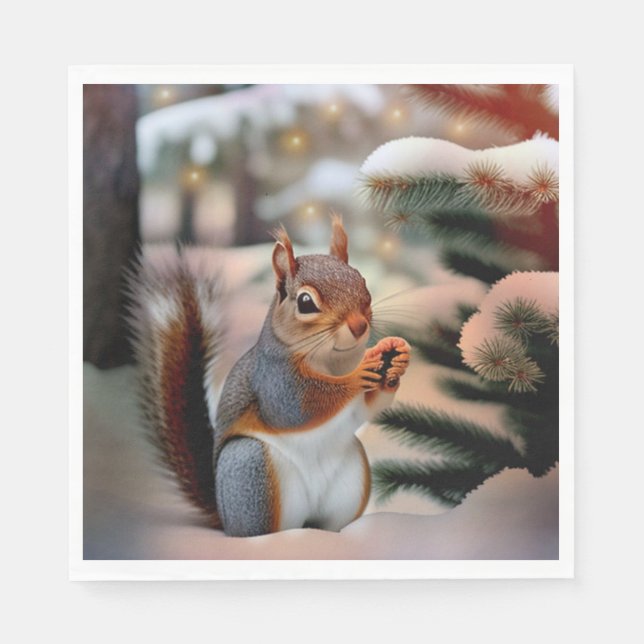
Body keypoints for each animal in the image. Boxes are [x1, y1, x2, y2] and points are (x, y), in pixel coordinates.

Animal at [128, 215, 411, 537]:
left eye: (362, 282)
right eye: (305, 302)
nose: (359, 326)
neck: (330, 361)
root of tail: (224, 516)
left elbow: (365, 408)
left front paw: (393, 358)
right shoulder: (272, 380)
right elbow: (296, 408)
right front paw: (359, 373)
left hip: (351, 480)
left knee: (328, 524)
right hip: (252, 471)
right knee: (262, 530)